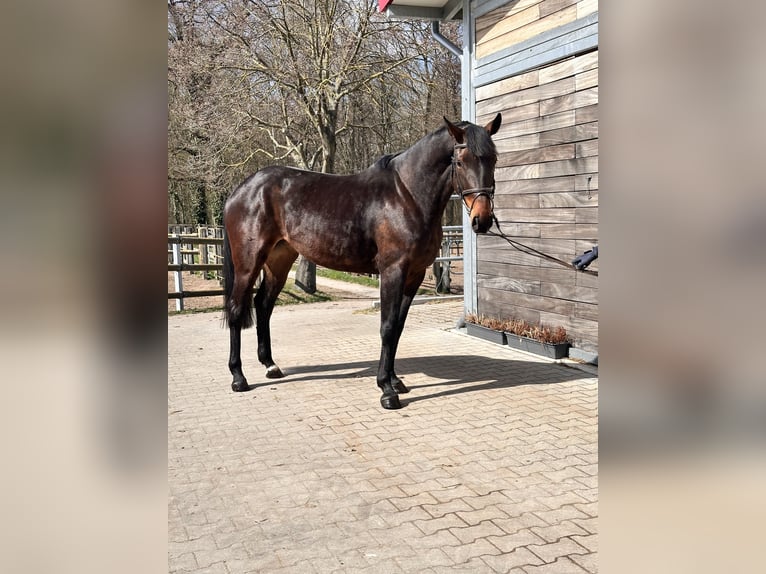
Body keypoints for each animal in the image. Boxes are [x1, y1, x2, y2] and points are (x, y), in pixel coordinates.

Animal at [222, 114, 502, 409]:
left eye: (494, 159)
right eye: (460, 161)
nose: (482, 220)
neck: (407, 195)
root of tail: (242, 190)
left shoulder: (414, 275)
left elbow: (398, 327)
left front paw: (395, 381)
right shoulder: (392, 271)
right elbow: (387, 327)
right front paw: (386, 390)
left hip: (279, 260)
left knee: (263, 305)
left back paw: (270, 366)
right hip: (248, 264)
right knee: (237, 309)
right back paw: (238, 378)